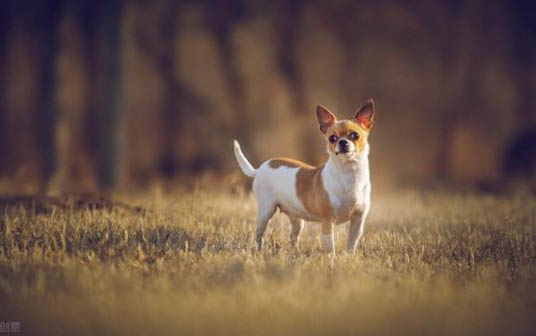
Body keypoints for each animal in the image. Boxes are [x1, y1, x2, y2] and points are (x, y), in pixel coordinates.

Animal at [232, 100, 374, 255]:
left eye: (355, 135)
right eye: (332, 138)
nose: (342, 142)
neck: (349, 174)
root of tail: (259, 169)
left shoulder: (358, 221)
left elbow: (351, 243)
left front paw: (349, 257)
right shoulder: (327, 221)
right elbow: (330, 246)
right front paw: (332, 259)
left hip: (297, 220)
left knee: (293, 237)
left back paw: (296, 252)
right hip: (266, 210)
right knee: (259, 232)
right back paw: (259, 249)